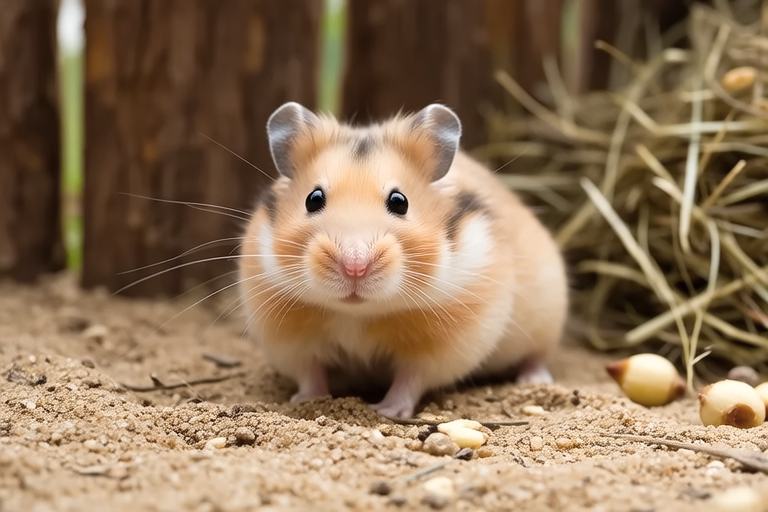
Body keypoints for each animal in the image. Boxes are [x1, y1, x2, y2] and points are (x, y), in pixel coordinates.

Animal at [238, 102, 568, 418]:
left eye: (400, 202)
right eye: (313, 199)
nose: (354, 266)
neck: (357, 314)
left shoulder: (444, 346)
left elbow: (410, 379)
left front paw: (387, 410)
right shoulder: (290, 342)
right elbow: (310, 374)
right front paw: (306, 401)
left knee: (537, 355)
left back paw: (533, 380)